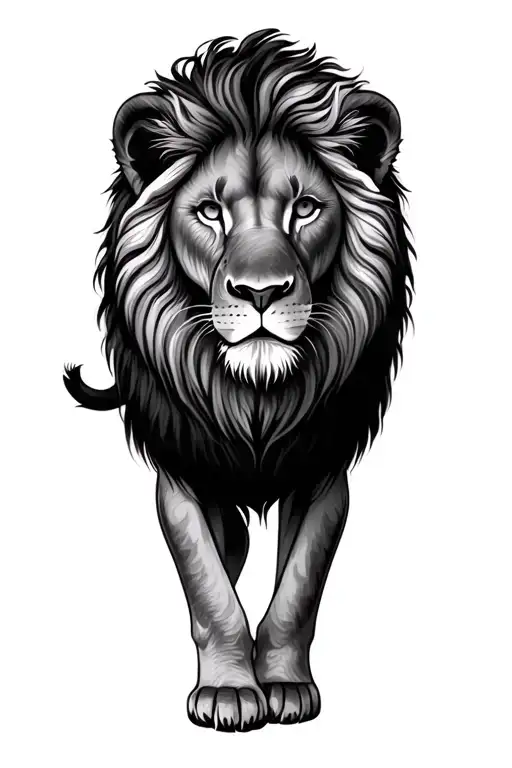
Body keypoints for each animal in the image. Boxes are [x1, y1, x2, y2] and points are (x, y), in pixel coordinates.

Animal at [64, 29, 413, 731]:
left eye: (305, 208)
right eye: (208, 212)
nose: (261, 292)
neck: (254, 399)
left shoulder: (322, 469)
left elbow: (297, 590)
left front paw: (282, 684)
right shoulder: (181, 471)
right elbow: (209, 590)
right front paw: (228, 691)